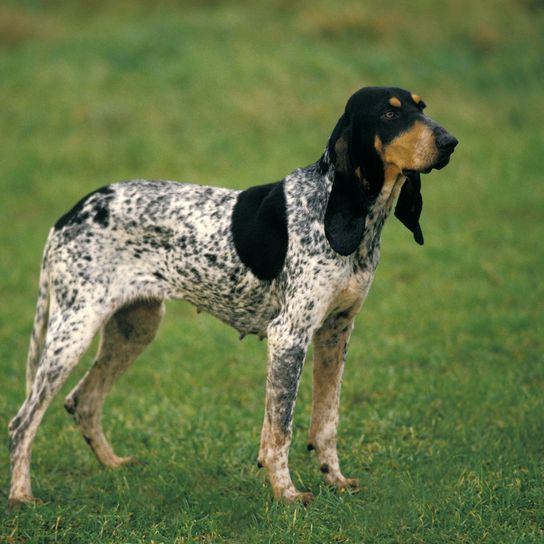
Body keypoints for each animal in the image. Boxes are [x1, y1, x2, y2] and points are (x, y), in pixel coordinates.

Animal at [9, 85, 460, 506]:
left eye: (421, 106)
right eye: (389, 114)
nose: (450, 141)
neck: (348, 214)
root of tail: (68, 215)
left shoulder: (336, 332)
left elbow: (326, 423)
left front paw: (335, 480)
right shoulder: (289, 337)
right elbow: (280, 430)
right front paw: (287, 494)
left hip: (135, 327)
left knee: (82, 401)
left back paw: (115, 466)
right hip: (74, 330)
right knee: (22, 422)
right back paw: (20, 495)